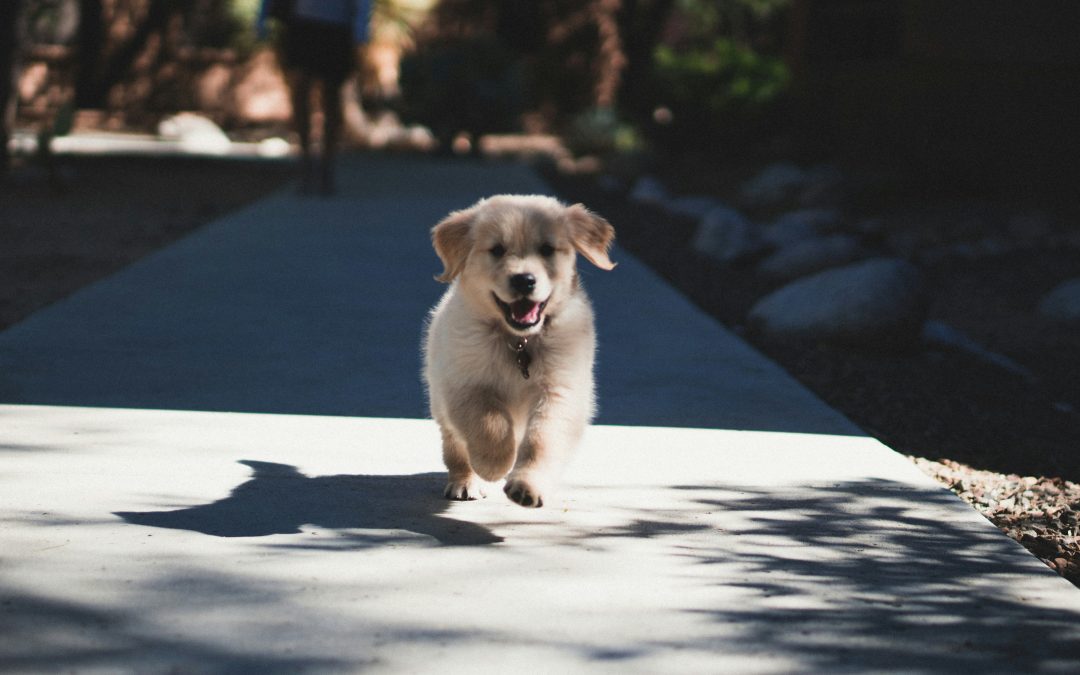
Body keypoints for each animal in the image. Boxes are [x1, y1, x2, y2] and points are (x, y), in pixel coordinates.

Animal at [425, 194, 622, 505]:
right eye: (497, 250)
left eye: (547, 249)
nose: (524, 280)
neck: (519, 341)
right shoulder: (464, 384)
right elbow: (490, 422)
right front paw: (494, 464)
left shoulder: (560, 390)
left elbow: (542, 440)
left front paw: (527, 485)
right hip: (440, 401)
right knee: (455, 447)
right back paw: (465, 481)